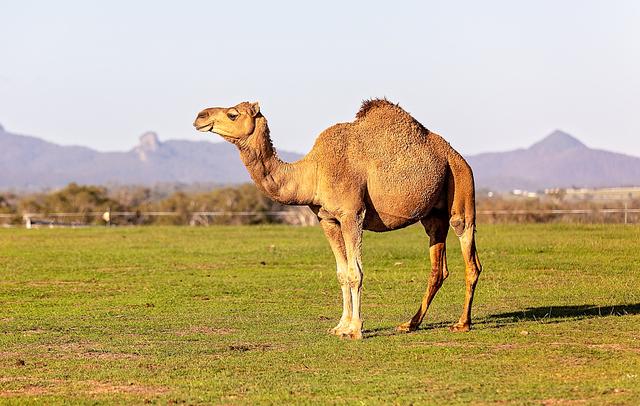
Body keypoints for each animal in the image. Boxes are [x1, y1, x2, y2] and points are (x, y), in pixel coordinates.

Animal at [192, 98, 482, 340]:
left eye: (232, 114)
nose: (199, 116)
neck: (313, 172)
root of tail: (456, 155)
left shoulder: (352, 213)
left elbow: (356, 272)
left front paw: (355, 330)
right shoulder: (328, 219)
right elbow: (342, 273)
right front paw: (340, 326)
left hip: (461, 185)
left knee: (470, 254)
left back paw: (462, 323)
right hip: (433, 215)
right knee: (438, 265)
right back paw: (410, 324)